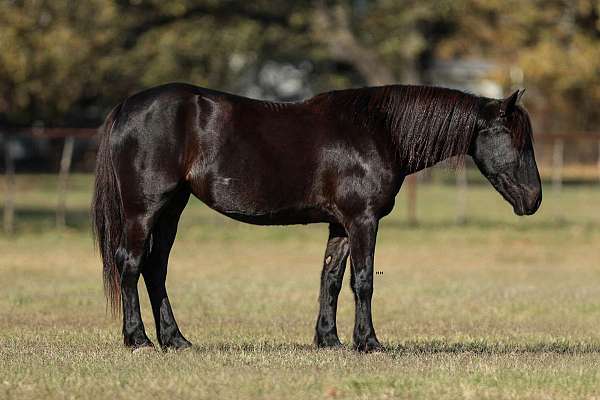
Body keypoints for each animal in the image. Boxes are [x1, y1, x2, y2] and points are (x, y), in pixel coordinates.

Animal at [92, 83, 544, 352]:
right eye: (516, 140)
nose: (534, 200)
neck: (378, 130)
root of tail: (126, 107)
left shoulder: (340, 225)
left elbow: (330, 279)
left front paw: (329, 340)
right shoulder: (363, 220)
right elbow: (362, 281)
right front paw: (368, 343)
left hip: (172, 209)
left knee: (155, 269)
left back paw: (175, 339)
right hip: (144, 209)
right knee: (131, 265)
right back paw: (138, 339)